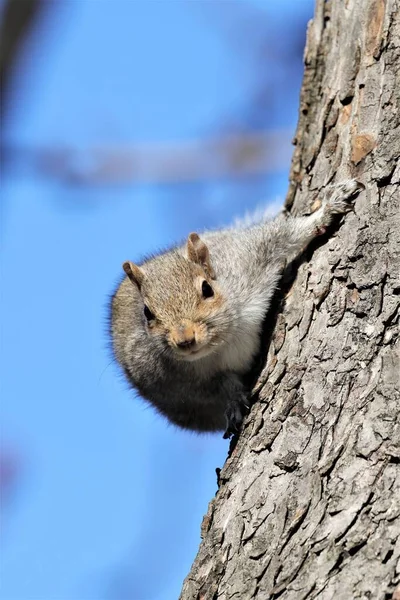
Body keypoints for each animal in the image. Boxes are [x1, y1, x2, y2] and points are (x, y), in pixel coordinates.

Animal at [108, 178, 362, 436]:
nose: (185, 340)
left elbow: (283, 235)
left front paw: (327, 209)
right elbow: (221, 386)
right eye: (147, 313)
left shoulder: (247, 259)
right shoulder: (177, 383)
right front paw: (233, 402)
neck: (221, 343)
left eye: (207, 289)